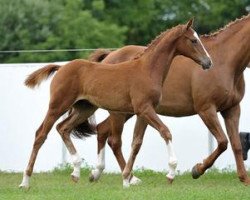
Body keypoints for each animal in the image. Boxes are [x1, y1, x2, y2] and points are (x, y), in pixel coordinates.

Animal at [19, 19, 213, 188]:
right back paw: (25, 182)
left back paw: (76, 171)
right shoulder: (144, 109)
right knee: (41, 134)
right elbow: (165, 132)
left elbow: (136, 142)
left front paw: (127, 178)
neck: (147, 69)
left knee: (63, 128)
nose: (208, 62)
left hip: (85, 108)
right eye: (194, 40)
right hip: (58, 105)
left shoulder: (143, 112)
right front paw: (170, 173)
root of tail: (62, 67)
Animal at [85, 14, 250, 187]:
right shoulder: (206, 109)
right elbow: (223, 142)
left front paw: (244, 178)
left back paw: (98, 173)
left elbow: (236, 145)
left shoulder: (232, 109)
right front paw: (197, 170)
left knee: (103, 130)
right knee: (114, 140)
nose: (208, 63)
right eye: (193, 41)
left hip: (129, 111)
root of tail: (109, 56)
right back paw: (129, 177)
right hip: (119, 112)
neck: (225, 61)